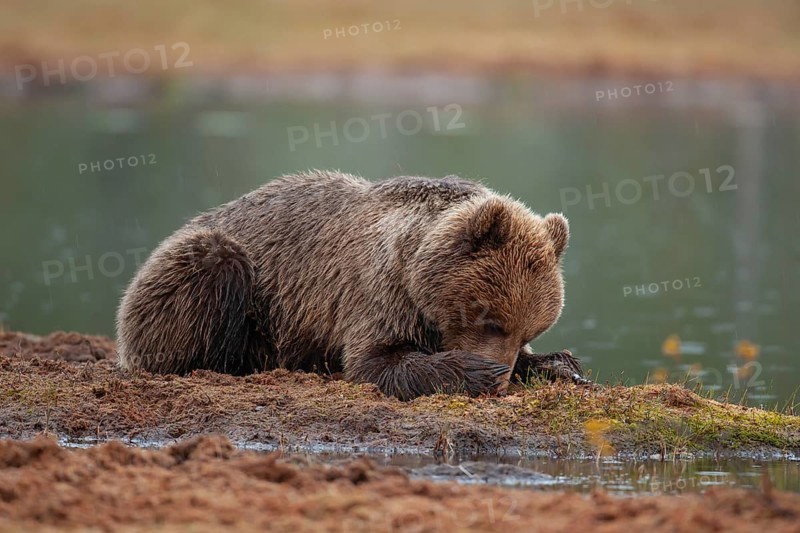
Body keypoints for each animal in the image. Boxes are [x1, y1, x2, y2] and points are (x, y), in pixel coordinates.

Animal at [116, 171, 589, 400]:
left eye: (528, 331)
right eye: (492, 320)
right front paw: (475, 371)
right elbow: (375, 362)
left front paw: (560, 365)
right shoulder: (377, 287)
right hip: (219, 275)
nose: (501, 379)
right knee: (213, 270)